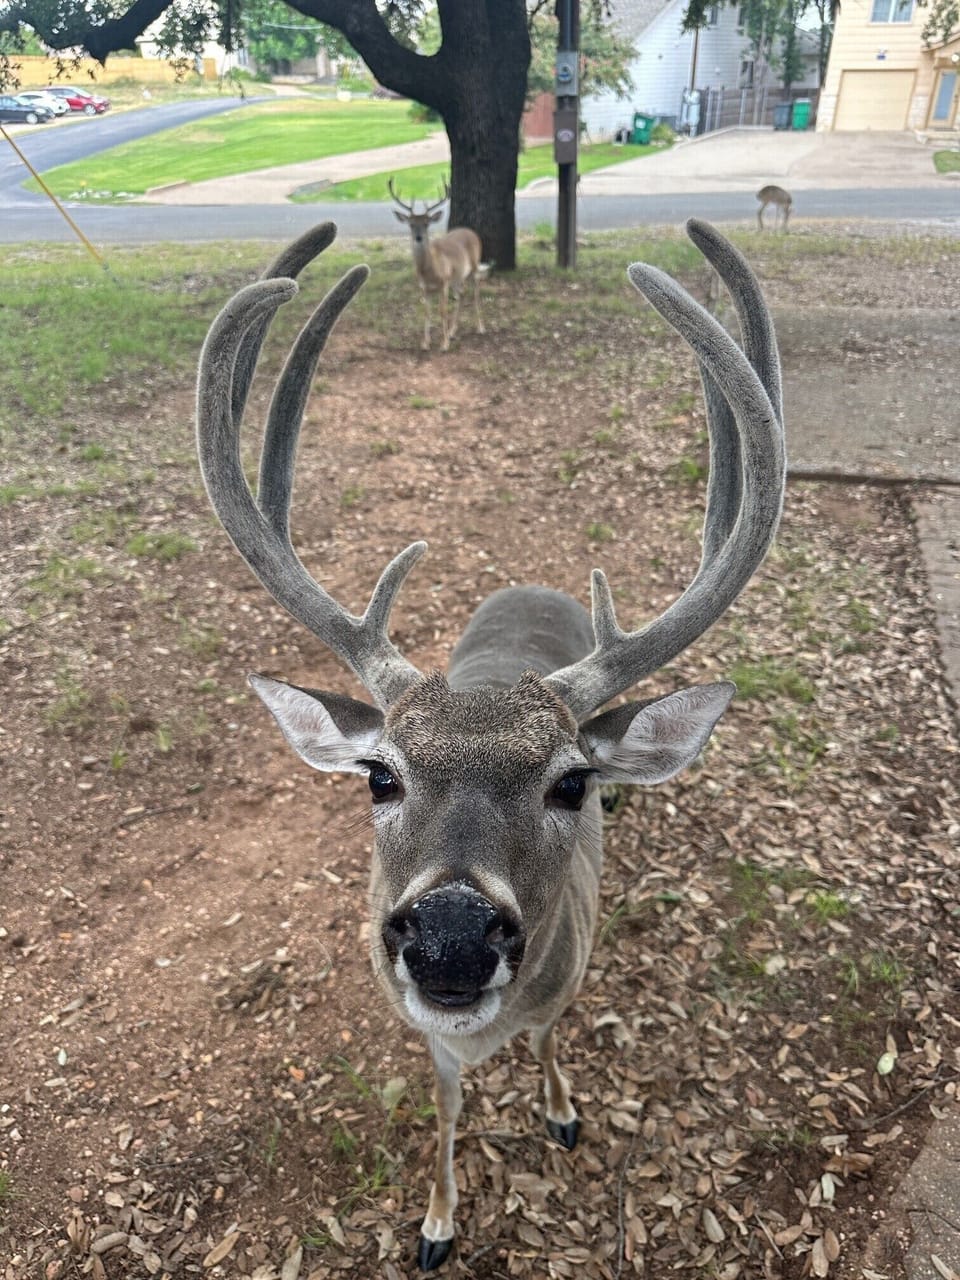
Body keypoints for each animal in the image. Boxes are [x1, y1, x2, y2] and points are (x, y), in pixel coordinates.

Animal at [196, 218, 786, 1271]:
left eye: (571, 784)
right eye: (377, 775)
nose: (452, 934)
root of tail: (529, 583)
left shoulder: (564, 985)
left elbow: (551, 1047)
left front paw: (559, 1112)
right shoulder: (424, 1035)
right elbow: (442, 1106)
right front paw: (435, 1223)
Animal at [389, 177, 486, 352]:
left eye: (427, 224)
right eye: (411, 224)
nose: (419, 238)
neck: (429, 271)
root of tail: (471, 231)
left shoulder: (444, 282)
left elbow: (442, 311)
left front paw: (444, 344)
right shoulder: (424, 288)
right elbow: (426, 312)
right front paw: (425, 343)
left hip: (474, 267)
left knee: (475, 294)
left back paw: (481, 328)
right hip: (457, 276)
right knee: (462, 294)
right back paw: (453, 331)